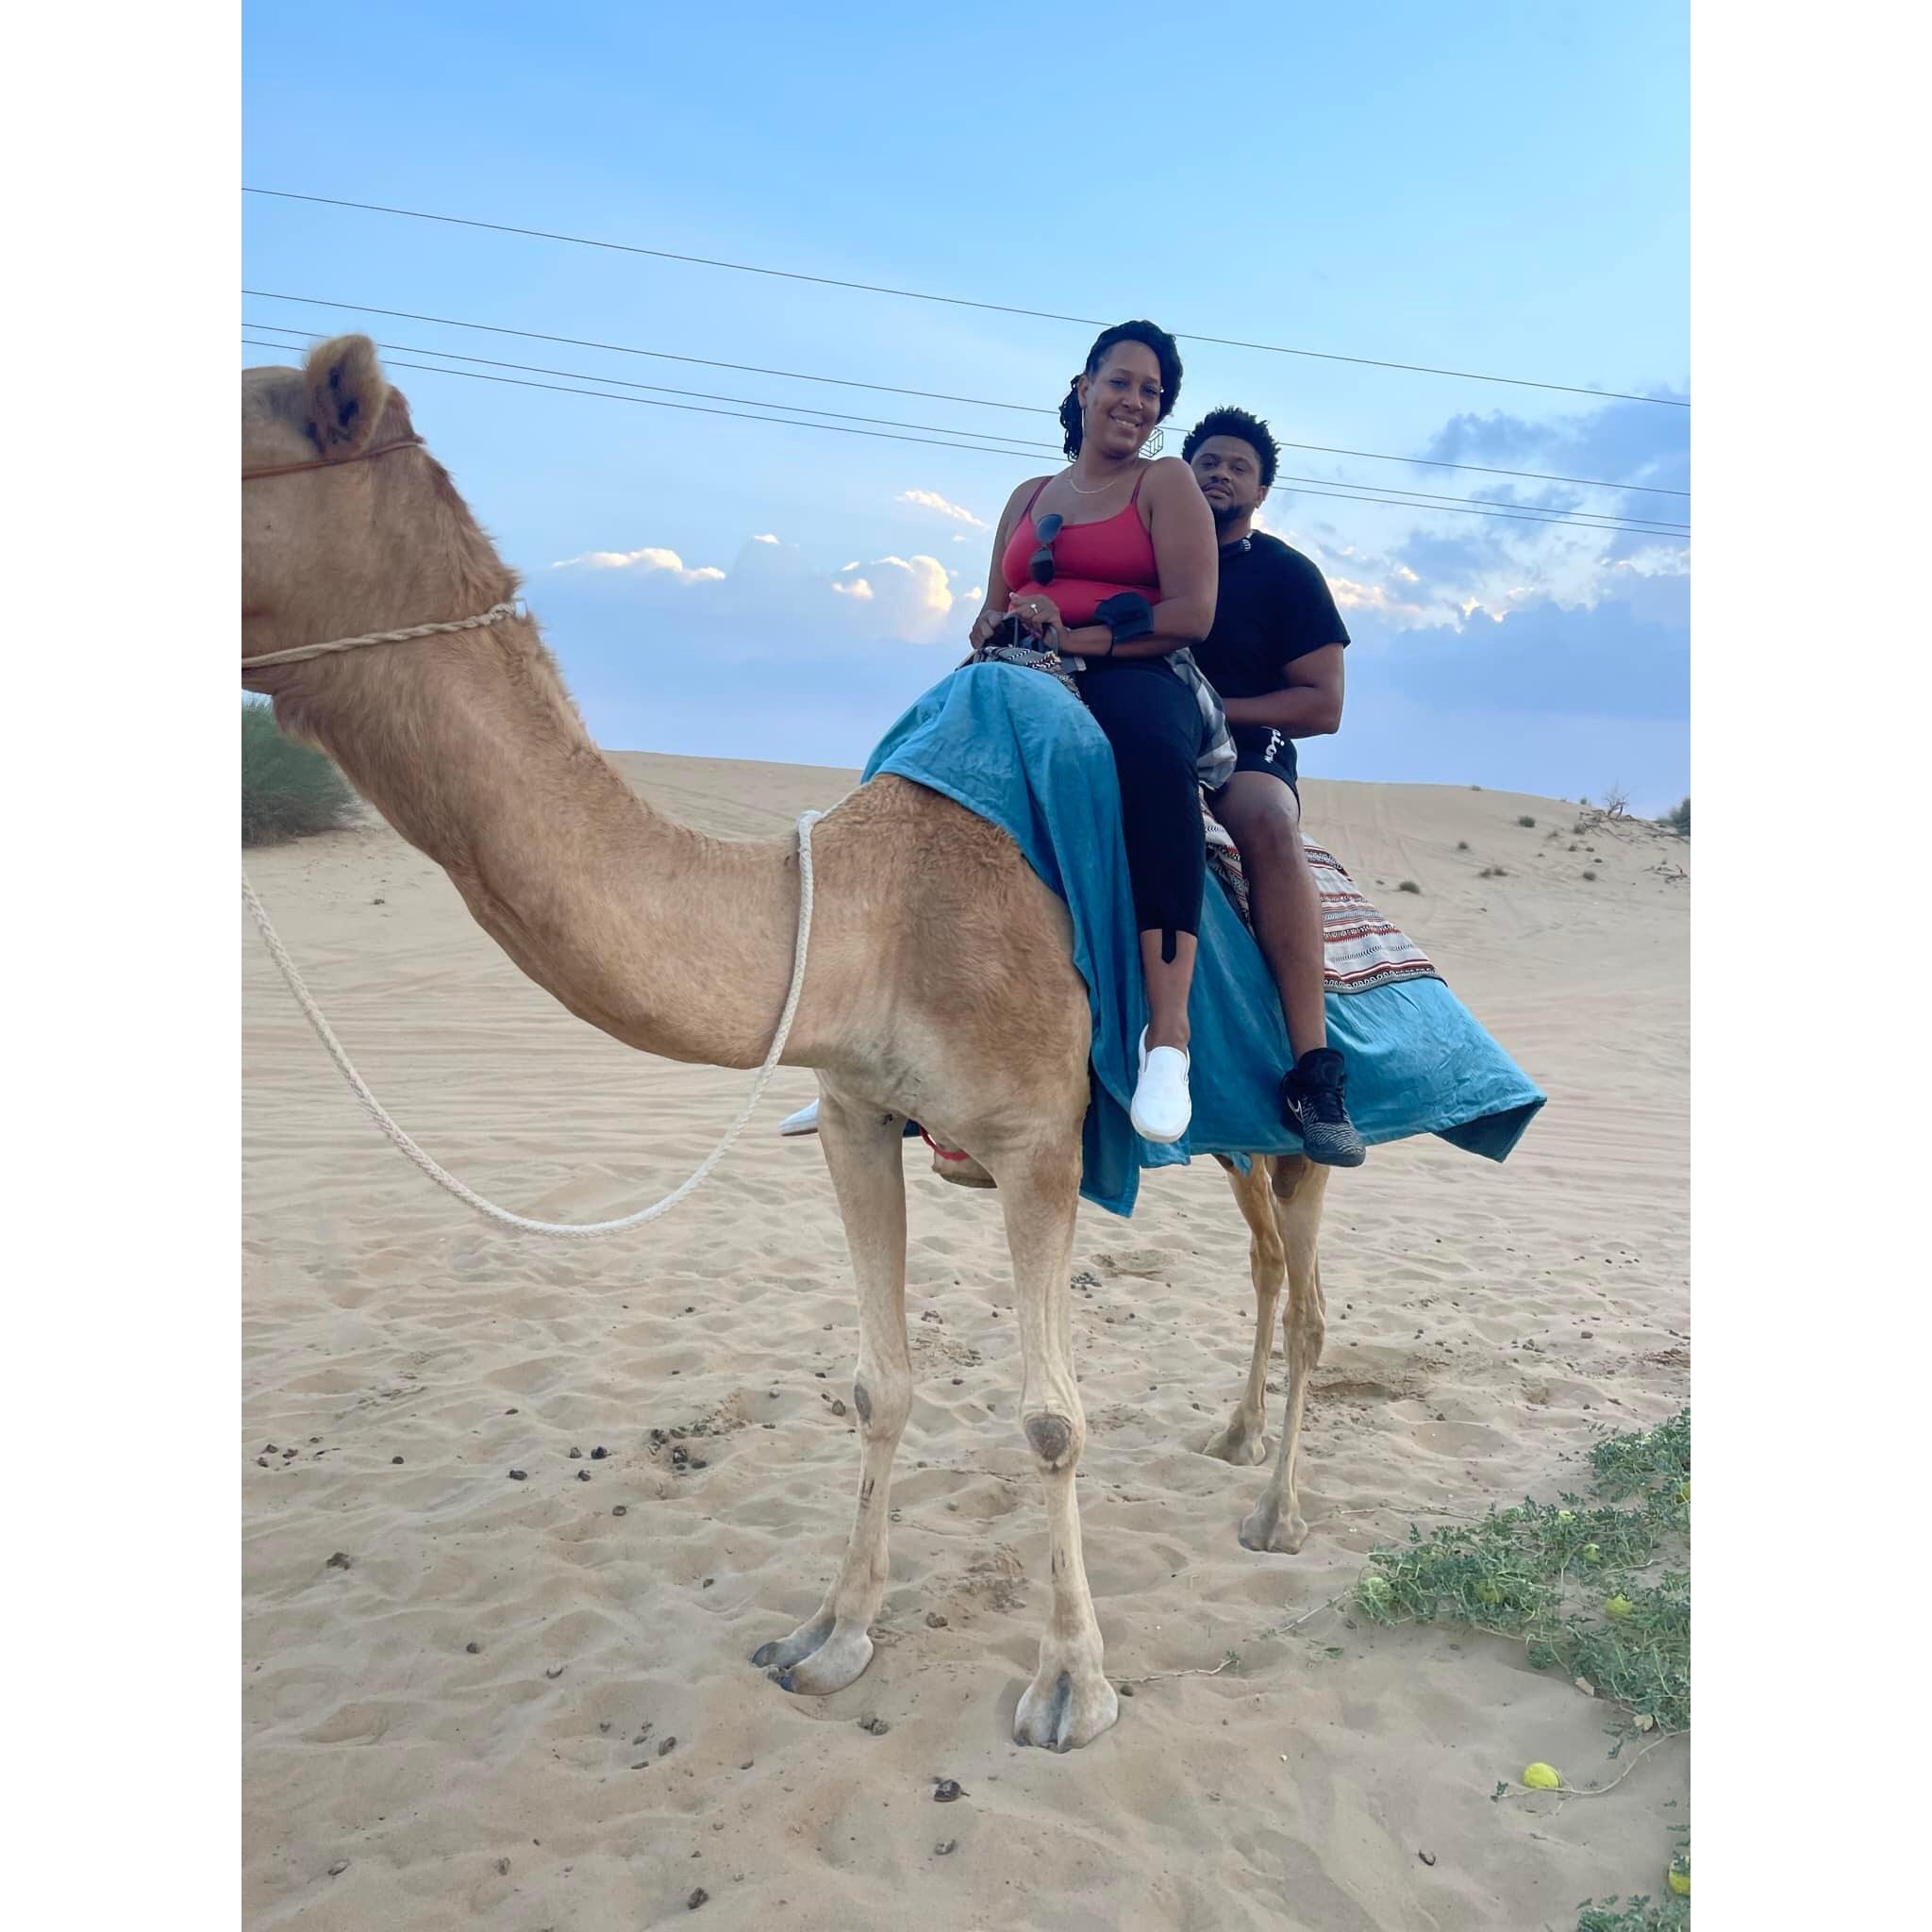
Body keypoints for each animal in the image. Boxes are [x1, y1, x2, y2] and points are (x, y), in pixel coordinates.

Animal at [242, 336, 1330, 1753]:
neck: (879, 911)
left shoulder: (1038, 1140)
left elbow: (1049, 1417)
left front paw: (1072, 1687)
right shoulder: (861, 1114)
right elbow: (880, 1384)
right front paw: (831, 1633)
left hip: (1292, 1117)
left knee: (1308, 1285)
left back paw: (1278, 1508)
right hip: (1226, 1140)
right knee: (1263, 1263)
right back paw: (1236, 1443)